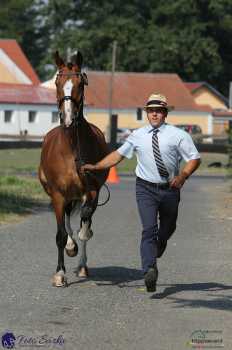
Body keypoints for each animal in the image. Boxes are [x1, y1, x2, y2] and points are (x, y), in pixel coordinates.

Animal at [38, 51, 109, 288]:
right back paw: (71, 247)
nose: (67, 117)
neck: (71, 148)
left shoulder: (92, 190)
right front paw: (60, 274)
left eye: (80, 83)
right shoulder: (58, 195)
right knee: (67, 221)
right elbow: (61, 234)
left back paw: (81, 263)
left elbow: (85, 223)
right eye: (57, 83)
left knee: (80, 221)